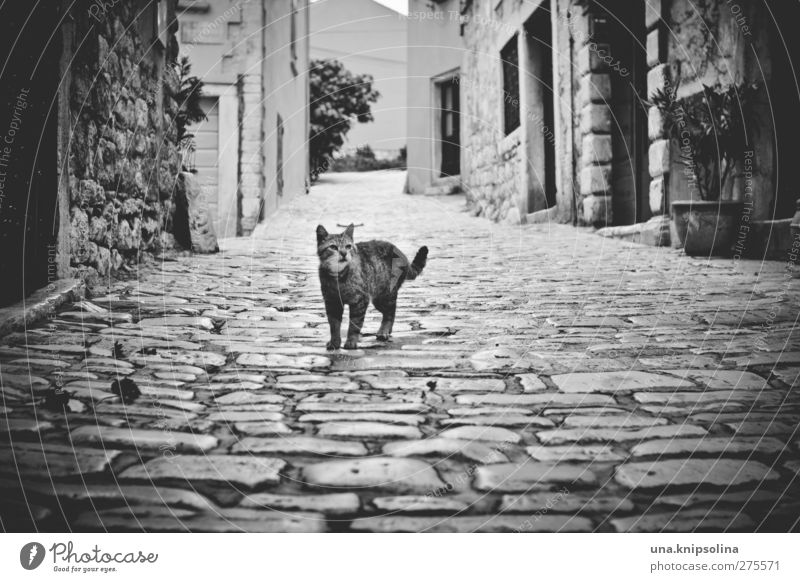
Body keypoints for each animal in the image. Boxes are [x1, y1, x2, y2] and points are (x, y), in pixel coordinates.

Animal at [316, 224, 428, 352]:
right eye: (333, 247)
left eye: (348, 246)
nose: (344, 253)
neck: (339, 277)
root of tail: (401, 254)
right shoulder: (332, 302)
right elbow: (334, 325)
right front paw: (335, 343)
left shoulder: (360, 301)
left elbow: (354, 324)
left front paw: (351, 342)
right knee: (388, 312)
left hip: (384, 295)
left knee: (390, 312)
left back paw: (384, 331)